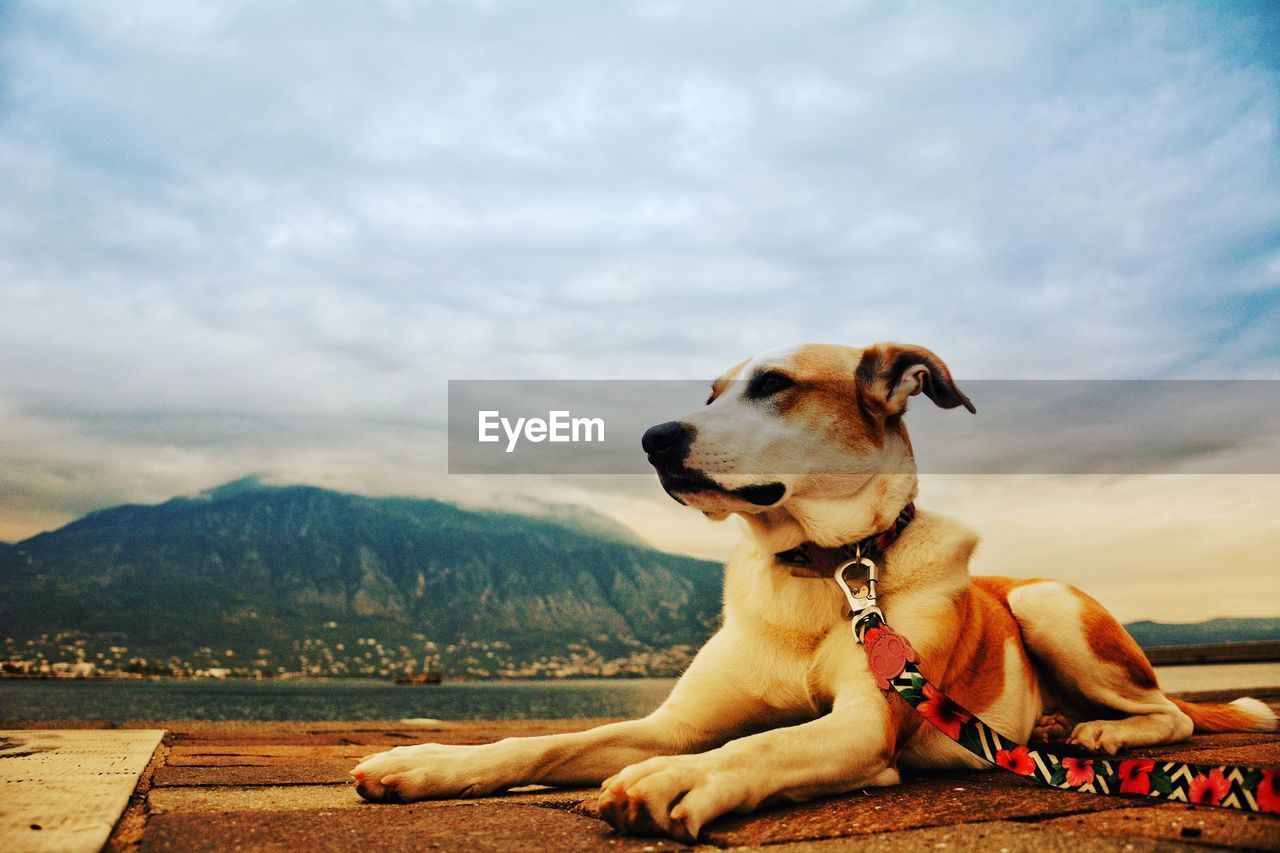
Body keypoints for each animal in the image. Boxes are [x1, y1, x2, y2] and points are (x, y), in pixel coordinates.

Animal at [348, 340, 1269, 835]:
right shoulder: (671, 723)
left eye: (774, 384)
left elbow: (758, 746)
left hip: (1049, 605)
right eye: (710, 391)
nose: (652, 438)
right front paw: (427, 762)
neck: (819, 570)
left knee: (1175, 711)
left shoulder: (862, 727)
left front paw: (676, 781)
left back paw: (1105, 734)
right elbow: (538, 743)